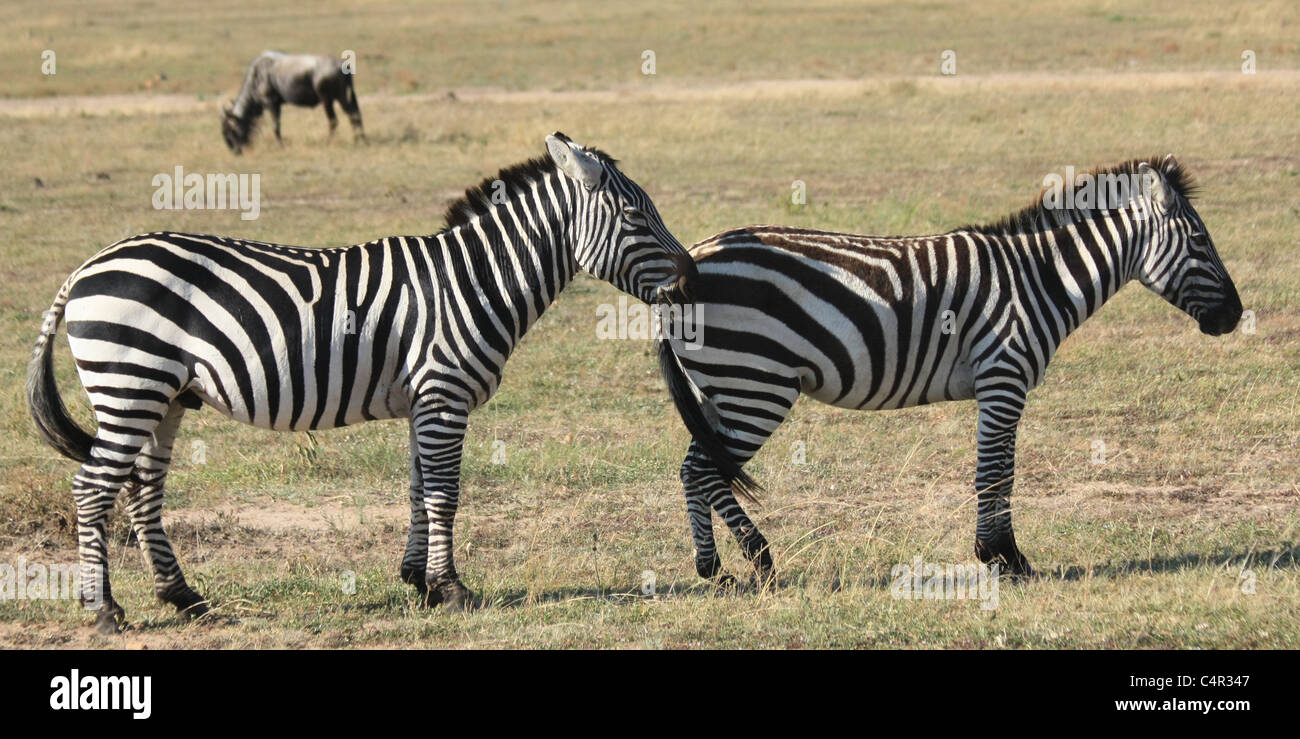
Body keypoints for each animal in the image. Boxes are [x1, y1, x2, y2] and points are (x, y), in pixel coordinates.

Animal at [27, 131, 691, 629]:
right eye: (634, 214)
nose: (689, 279)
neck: (475, 281)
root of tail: (87, 266)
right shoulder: (445, 395)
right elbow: (445, 493)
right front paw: (453, 590)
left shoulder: (425, 400)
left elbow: (419, 490)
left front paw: (418, 583)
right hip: (130, 385)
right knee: (92, 489)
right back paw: (105, 611)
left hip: (163, 398)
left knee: (143, 489)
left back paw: (184, 599)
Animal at [660, 156, 1237, 588]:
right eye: (1201, 242)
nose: (1234, 316)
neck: (1040, 279)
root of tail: (685, 266)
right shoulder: (1003, 376)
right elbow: (995, 471)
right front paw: (1001, 557)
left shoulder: (1003, 383)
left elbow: (1003, 469)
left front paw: (1003, 555)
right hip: (755, 387)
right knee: (708, 471)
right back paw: (760, 560)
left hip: (722, 390)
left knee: (694, 470)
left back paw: (714, 570)